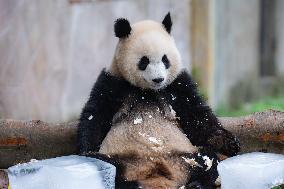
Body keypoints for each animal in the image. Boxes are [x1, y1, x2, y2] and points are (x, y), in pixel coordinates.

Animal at [77, 12, 240, 188]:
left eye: (165, 59)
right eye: (144, 61)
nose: (158, 79)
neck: (148, 91)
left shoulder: (177, 84)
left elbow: (197, 115)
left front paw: (228, 142)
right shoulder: (113, 82)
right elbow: (95, 115)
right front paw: (86, 149)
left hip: (186, 154)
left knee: (208, 159)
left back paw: (197, 183)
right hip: (122, 158)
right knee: (105, 165)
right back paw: (131, 183)